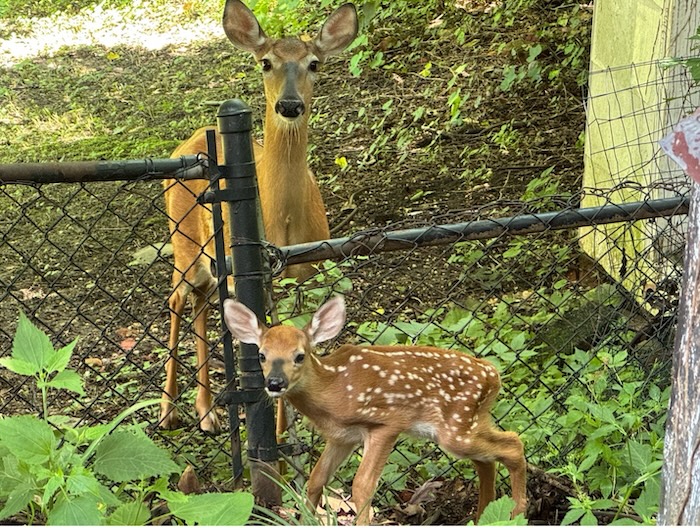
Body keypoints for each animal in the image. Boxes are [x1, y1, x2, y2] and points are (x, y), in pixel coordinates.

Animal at [160, 0, 359, 433]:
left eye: (314, 63)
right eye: (266, 62)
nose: (289, 104)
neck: (281, 222)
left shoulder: (307, 271)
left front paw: (288, 430)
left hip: (214, 261)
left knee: (200, 301)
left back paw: (207, 412)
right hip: (185, 243)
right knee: (177, 297)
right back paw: (169, 411)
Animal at [223, 295, 528, 525]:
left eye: (299, 355)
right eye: (261, 355)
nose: (275, 383)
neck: (333, 390)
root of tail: (493, 375)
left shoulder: (386, 423)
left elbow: (362, 486)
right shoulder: (341, 437)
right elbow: (316, 479)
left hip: (457, 426)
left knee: (513, 444)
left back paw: (517, 513)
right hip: (469, 423)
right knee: (488, 459)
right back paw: (483, 516)